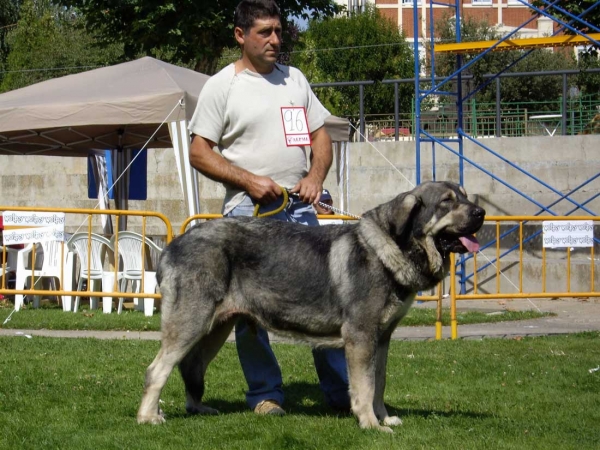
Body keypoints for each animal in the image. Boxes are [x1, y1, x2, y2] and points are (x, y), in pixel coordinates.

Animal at [138, 180, 486, 432]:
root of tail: (172, 245)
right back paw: (148, 417)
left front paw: (384, 417)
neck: (393, 248)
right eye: (447, 202)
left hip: (216, 327)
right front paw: (371, 425)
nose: (481, 213)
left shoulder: (382, 338)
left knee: (191, 365)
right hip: (192, 322)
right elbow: (364, 386)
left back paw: (197, 408)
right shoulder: (361, 336)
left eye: (464, 197)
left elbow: (379, 383)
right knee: (157, 369)